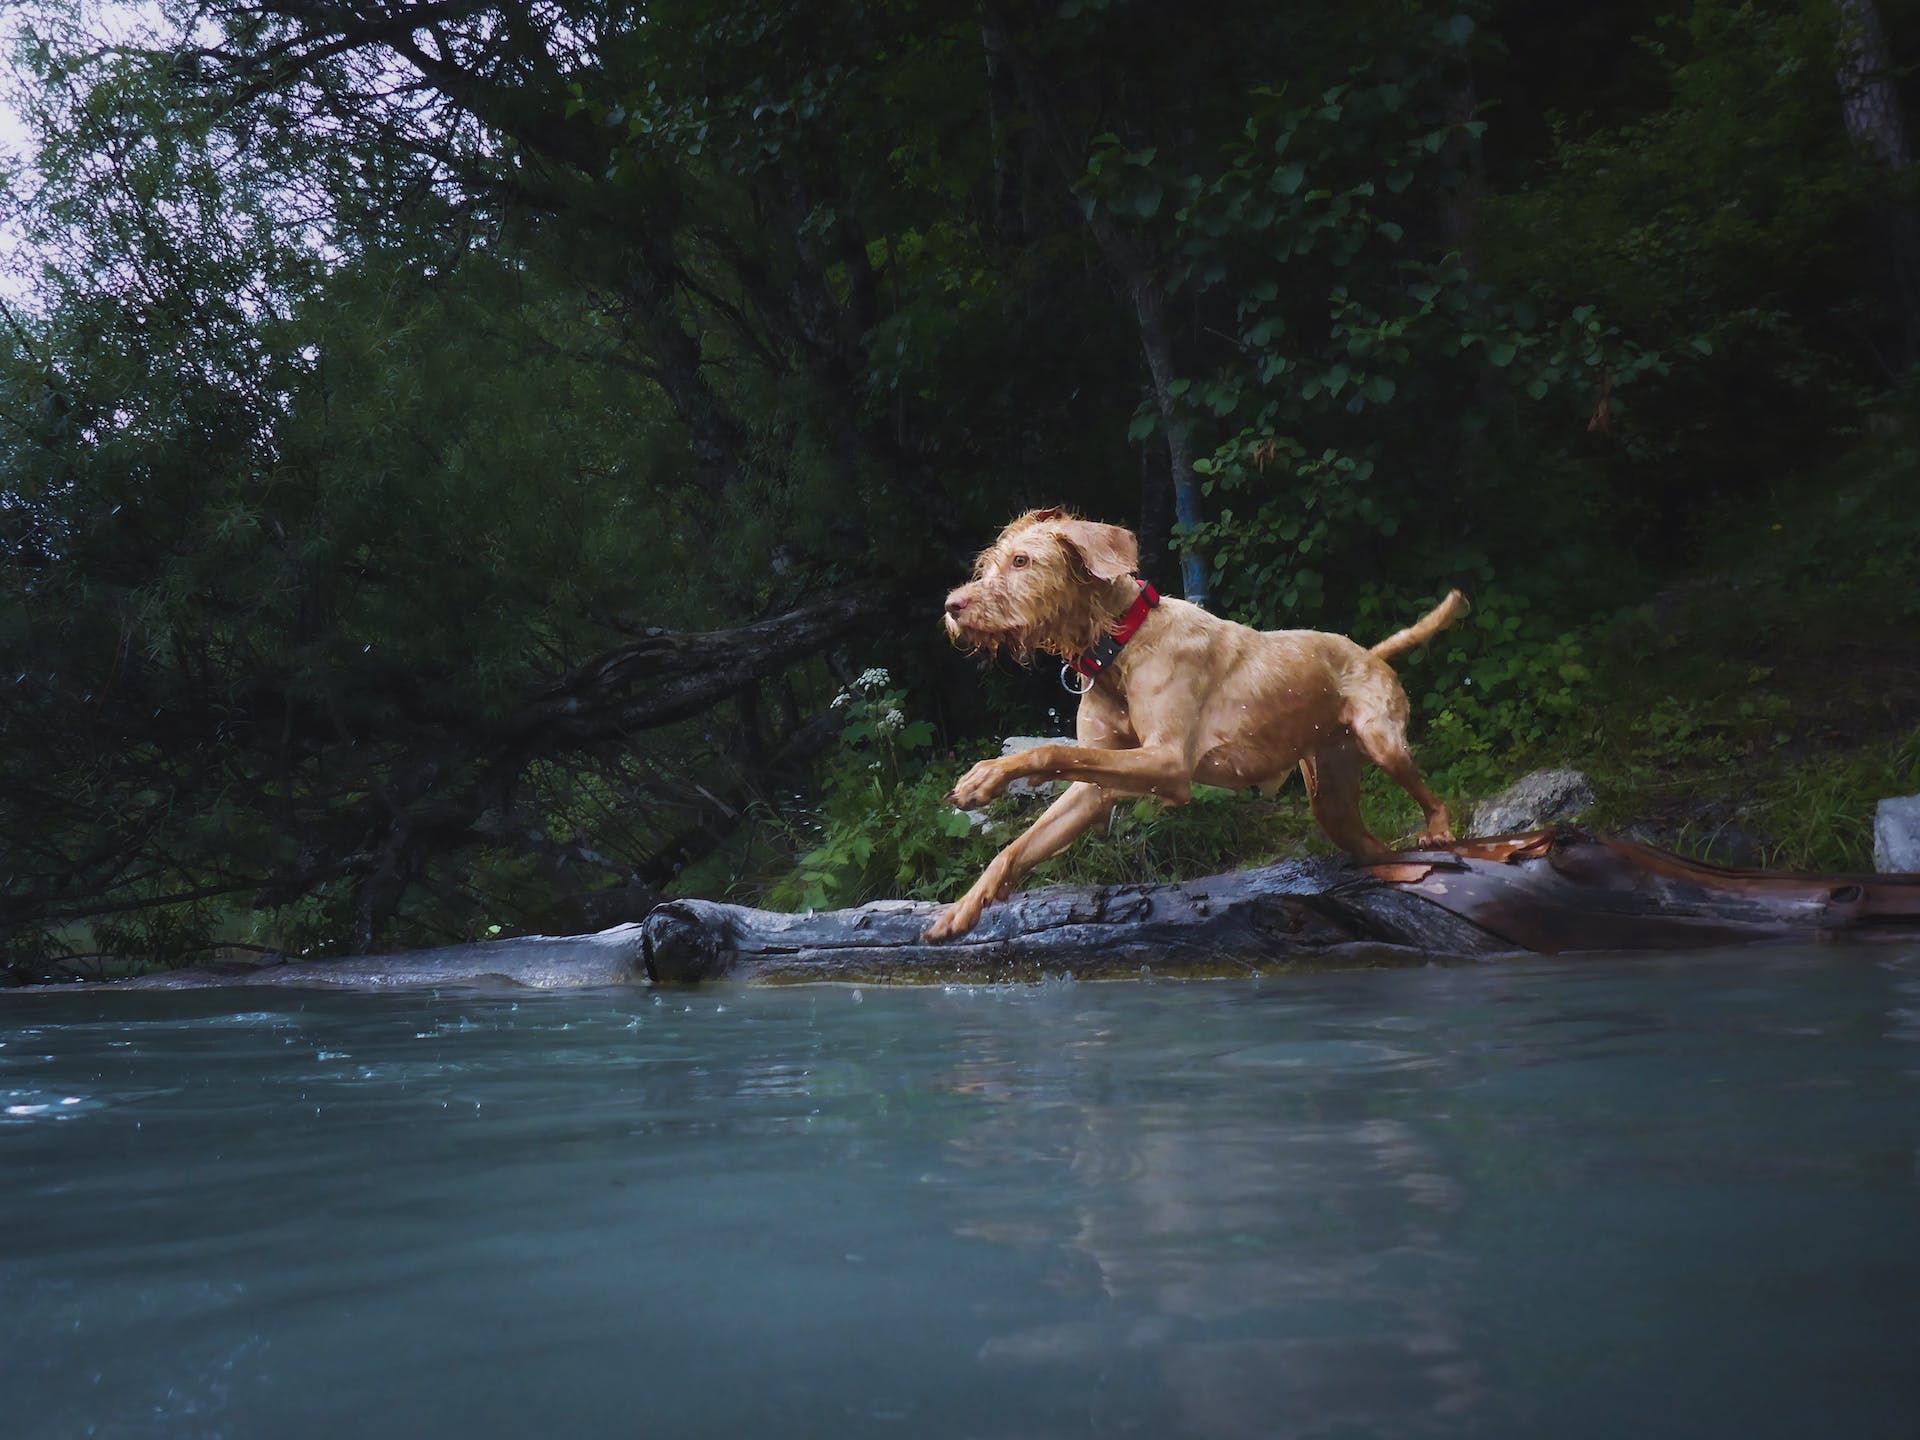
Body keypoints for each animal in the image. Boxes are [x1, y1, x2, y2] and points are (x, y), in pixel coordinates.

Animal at [929, 506, 1466, 948]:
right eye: (987, 564)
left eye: (1021, 561)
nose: (952, 606)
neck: (1120, 645)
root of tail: (1369, 652)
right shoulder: (1094, 792)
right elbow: (1018, 846)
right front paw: (963, 909)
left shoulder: (1167, 762)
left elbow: (1049, 752)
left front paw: (985, 777)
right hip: (1332, 802)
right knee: (1377, 849)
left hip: (1382, 742)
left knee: (1432, 798)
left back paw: (1438, 832)